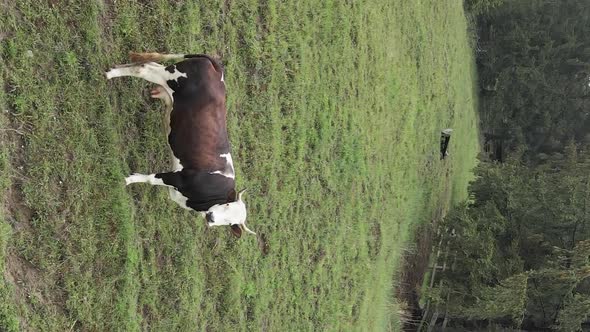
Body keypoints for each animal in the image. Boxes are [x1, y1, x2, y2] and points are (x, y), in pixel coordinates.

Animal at [106, 52, 254, 237]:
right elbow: (150, 179)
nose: (211, 217)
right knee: (144, 68)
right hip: (169, 76)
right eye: (227, 205)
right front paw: (126, 180)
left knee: (150, 63)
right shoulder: (179, 177)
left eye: (231, 222)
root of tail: (217, 69)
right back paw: (110, 74)